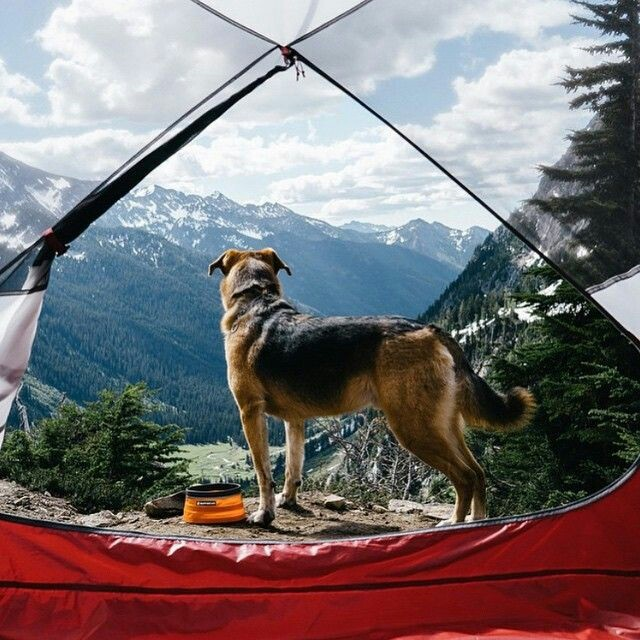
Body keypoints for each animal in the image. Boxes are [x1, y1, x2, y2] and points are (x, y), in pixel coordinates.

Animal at [210, 248, 536, 528]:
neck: (255, 300)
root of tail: (431, 331)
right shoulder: (295, 420)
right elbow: (293, 467)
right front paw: (288, 500)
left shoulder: (250, 412)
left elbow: (263, 472)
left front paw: (265, 514)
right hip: (444, 425)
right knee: (478, 473)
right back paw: (476, 521)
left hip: (414, 429)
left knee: (465, 476)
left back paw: (455, 522)